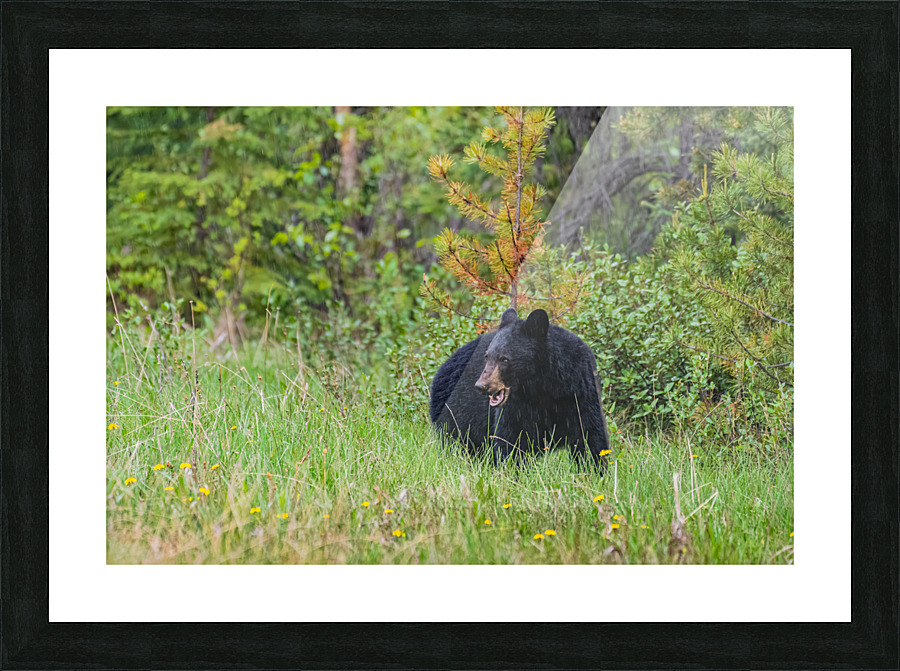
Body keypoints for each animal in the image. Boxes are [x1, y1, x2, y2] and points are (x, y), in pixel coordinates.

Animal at [429, 308, 609, 469]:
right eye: (487, 356)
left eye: (504, 359)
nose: (481, 386)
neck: (542, 386)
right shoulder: (517, 406)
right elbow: (512, 440)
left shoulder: (580, 390)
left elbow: (590, 436)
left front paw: (594, 471)